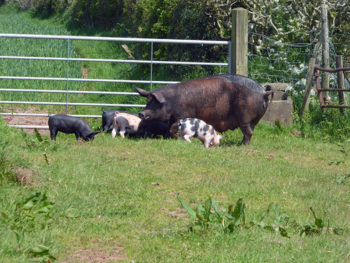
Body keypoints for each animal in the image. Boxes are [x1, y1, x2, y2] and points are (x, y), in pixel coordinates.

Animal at [137, 73, 274, 145]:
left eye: (155, 103)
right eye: (147, 101)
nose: (141, 113)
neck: (171, 102)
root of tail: (263, 92)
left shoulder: (182, 114)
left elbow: (174, 127)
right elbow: (169, 128)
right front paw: (169, 138)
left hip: (244, 116)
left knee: (248, 132)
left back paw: (242, 145)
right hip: (254, 119)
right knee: (251, 130)